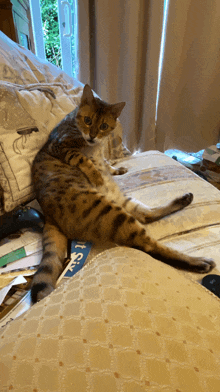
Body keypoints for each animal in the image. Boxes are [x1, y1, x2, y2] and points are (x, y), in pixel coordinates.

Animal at [30, 83, 215, 304]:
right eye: (88, 120)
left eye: (103, 126)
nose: (92, 136)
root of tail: (48, 215)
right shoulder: (60, 146)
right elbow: (84, 160)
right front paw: (97, 174)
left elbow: (105, 163)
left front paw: (114, 169)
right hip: (108, 211)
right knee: (148, 244)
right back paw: (198, 261)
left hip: (119, 201)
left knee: (146, 215)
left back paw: (184, 200)